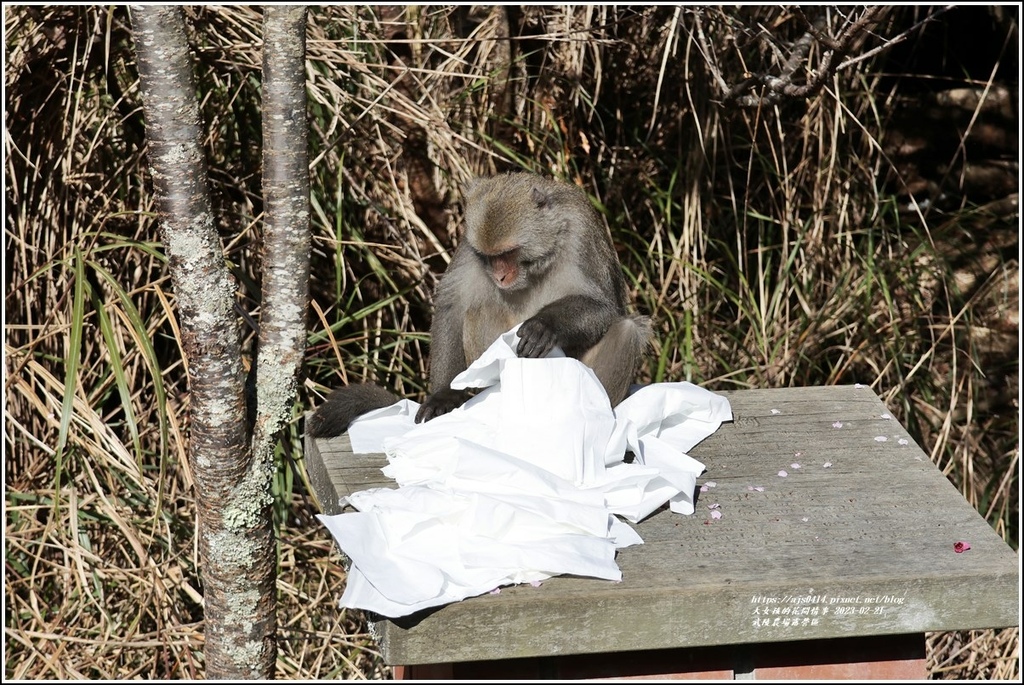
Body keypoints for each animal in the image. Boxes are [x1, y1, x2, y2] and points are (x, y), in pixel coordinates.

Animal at [307, 172, 651, 438]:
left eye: (508, 253)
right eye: (489, 257)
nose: (499, 275)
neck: (546, 250)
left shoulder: (582, 234)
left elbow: (606, 309)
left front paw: (545, 325)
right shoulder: (469, 246)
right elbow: (454, 305)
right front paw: (445, 394)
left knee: (627, 331)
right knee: (478, 310)